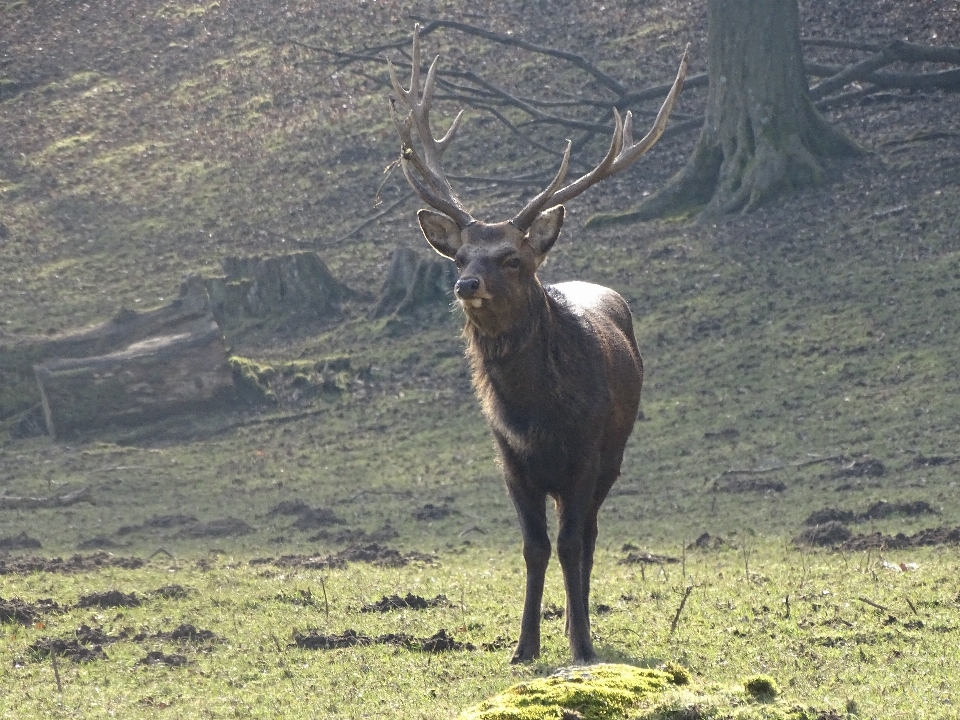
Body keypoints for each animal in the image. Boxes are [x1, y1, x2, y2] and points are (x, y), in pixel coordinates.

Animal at [386, 23, 688, 664]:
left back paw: (583, 624)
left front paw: (582, 645)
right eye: (459, 254)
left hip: (613, 457)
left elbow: (571, 544)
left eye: (512, 258)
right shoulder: (510, 461)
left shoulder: (584, 455)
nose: (465, 284)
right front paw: (523, 646)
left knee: (591, 535)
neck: (536, 414)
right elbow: (533, 548)